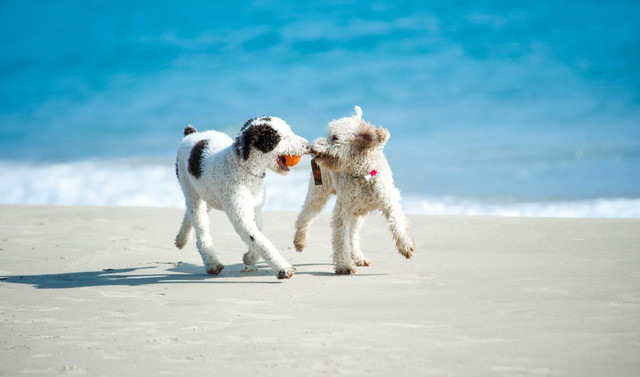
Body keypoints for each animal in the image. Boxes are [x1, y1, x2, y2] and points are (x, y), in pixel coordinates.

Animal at [175, 116, 310, 278]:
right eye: (282, 137)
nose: (308, 146)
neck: (245, 170)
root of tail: (191, 134)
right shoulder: (241, 216)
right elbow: (260, 240)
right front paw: (283, 268)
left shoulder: (256, 208)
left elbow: (258, 234)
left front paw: (250, 258)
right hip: (190, 190)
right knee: (200, 227)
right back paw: (211, 263)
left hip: (206, 192)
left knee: (191, 214)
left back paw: (181, 239)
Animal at [294, 105, 416, 274]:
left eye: (335, 138)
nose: (312, 147)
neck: (362, 173)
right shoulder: (342, 210)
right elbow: (341, 238)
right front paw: (344, 265)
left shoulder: (389, 201)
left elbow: (397, 222)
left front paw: (405, 246)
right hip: (319, 193)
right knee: (305, 216)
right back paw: (300, 241)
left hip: (357, 213)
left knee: (353, 235)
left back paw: (358, 257)